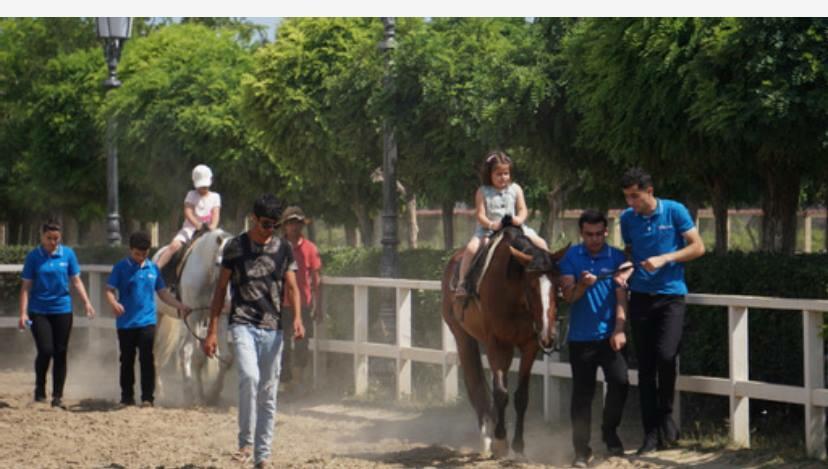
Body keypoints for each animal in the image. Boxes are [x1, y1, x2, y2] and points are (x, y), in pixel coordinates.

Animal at [153, 229, 234, 405]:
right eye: (218, 263)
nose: (228, 296)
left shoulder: (220, 317)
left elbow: (223, 357)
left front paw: (211, 394)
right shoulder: (193, 316)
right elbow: (192, 353)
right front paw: (191, 395)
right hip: (158, 316)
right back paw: (159, 392)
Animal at [441, 225, 567, 459]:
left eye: (556, 285)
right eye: (531, 286)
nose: (548, 335)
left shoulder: (529, 345)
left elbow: (521, 396)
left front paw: (518, 445)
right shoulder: (497, 343)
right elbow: (500, 393)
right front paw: (500, 442)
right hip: (463, 337)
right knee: (475, 383)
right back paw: (487, 436)